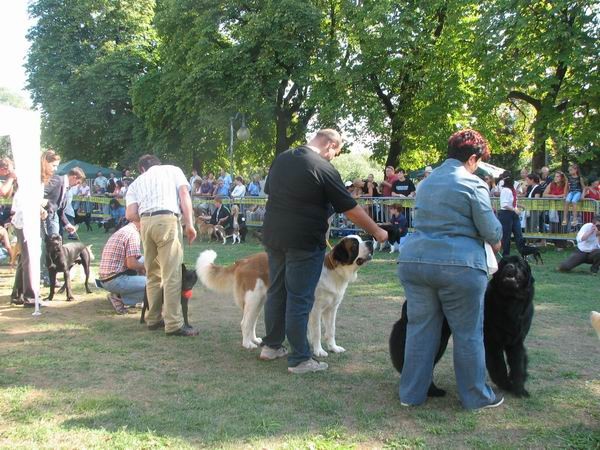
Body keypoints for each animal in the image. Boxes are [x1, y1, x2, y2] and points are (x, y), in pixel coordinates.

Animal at [197, 234, 372, 354]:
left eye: (361, 239)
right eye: (355, 244)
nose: (371, 241)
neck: (334, 271)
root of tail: (243, 260)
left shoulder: (331, 309)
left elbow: (331, 330)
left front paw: (333, 348)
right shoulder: (315, 310)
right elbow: (317, 332)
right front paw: (319, 351)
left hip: (260, 300)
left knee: (251, 321)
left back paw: (255, 339)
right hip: (253, 299)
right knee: (245, 322)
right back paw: (247, 344)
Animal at [392, 255, 536, 400]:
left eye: (519, 264)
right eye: (503, 264)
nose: (510, 267)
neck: (510, 302)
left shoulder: (516, 341)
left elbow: (518, 366)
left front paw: (519, 389)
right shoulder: (492, 343)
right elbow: (499, 367)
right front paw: (507, 385)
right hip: (440, 341)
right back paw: (433, 391)